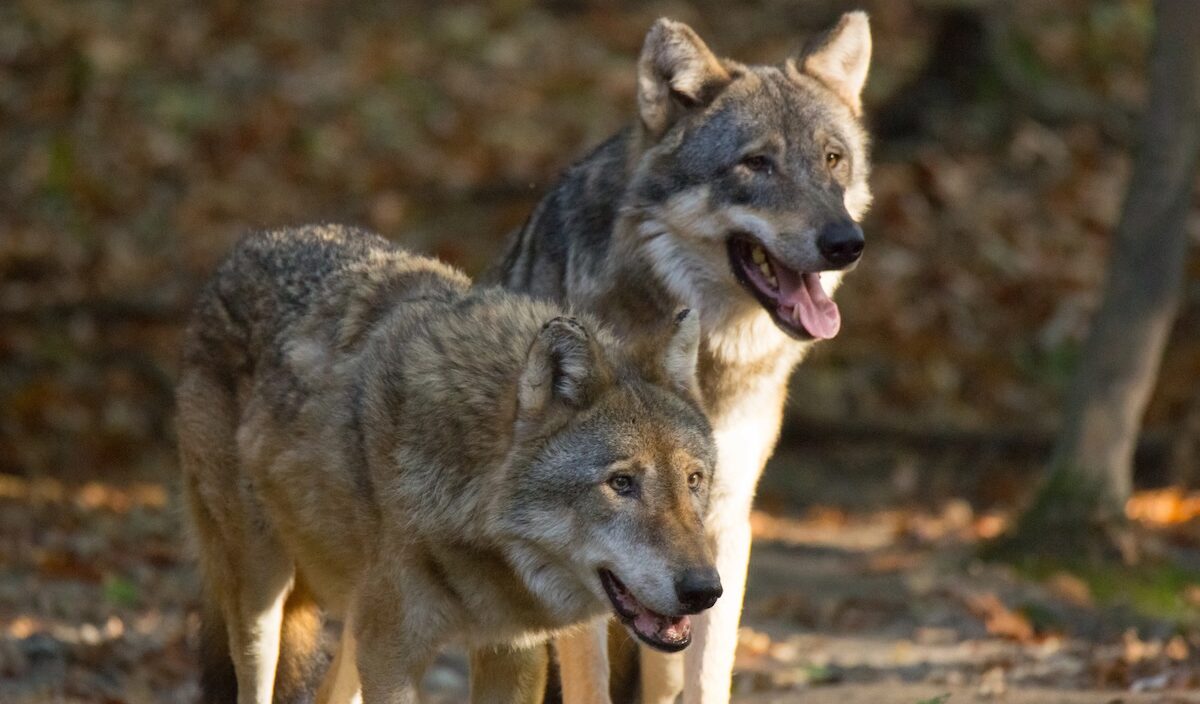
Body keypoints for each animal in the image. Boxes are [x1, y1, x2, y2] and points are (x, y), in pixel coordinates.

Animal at [177, 225, 725, 704]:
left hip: (352, 627)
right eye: (622, 482)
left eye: (694, 480)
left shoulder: (512, 652)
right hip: (263, 601)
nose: (705, 591)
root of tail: (244, 249)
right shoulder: (391, 656)